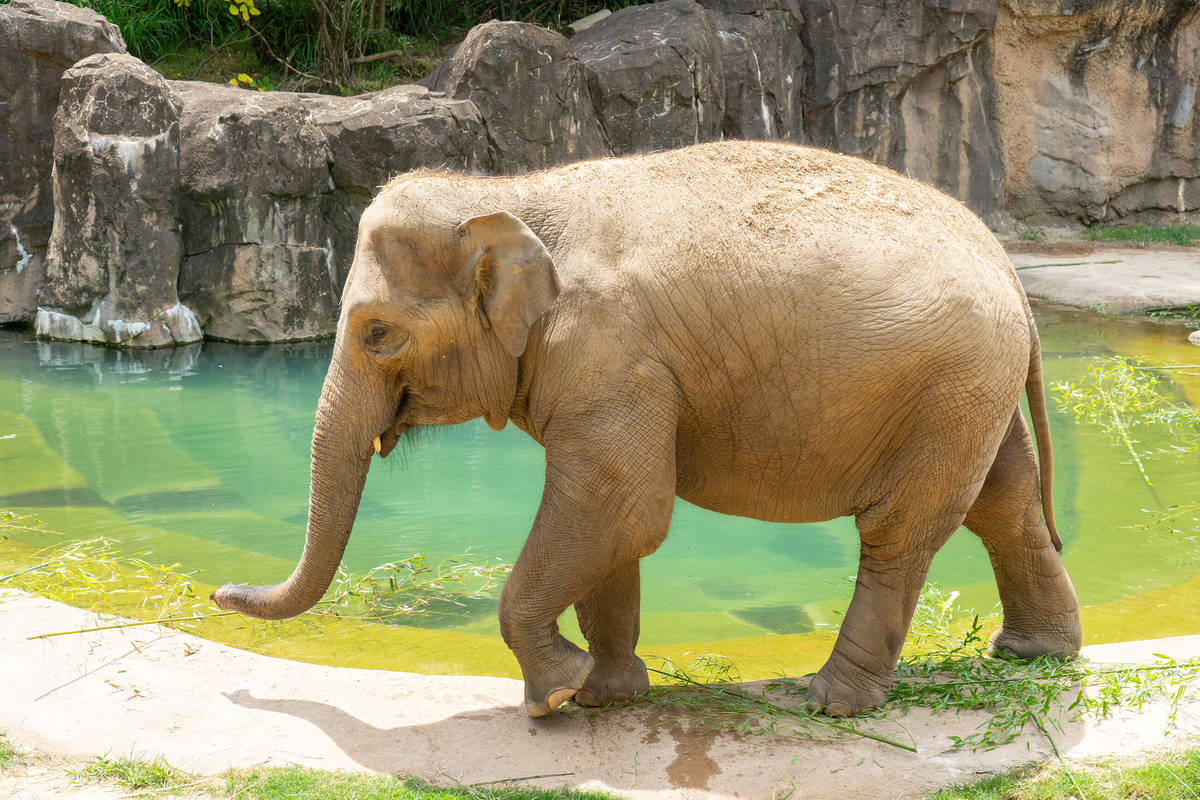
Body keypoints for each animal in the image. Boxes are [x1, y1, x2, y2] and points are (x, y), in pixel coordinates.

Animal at [212, 140, 1081, 718]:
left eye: (377, 334)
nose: (218, 592)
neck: (514, 195)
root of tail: (1007, 264)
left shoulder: (610, 352)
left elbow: (621, 502)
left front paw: (553, 695)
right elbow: (614, 521)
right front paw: (607, 693)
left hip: (949, 383)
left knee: (900, 534)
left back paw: (827, 701)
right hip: (973, 389)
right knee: (1004, 502)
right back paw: (1034, 654)